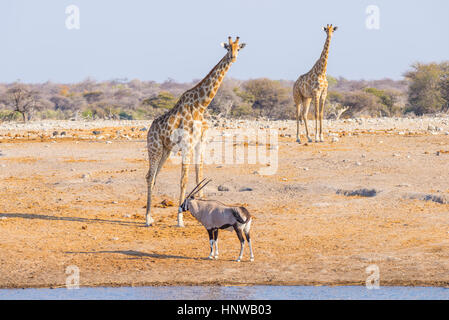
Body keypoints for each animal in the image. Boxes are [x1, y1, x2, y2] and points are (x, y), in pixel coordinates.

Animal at [144, 37, 245, 228]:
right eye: (228, 48)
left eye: (238, 49)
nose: (233, 57)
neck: (201, 105)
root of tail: (149, 130)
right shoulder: (187, 144)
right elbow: (184, 180)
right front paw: (180, 220)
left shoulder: (200, 142)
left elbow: (199, 176)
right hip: (154, 148)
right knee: (150, 177)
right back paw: (147, 219)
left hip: (166, 150)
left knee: (152, 176)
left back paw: (150, 217)